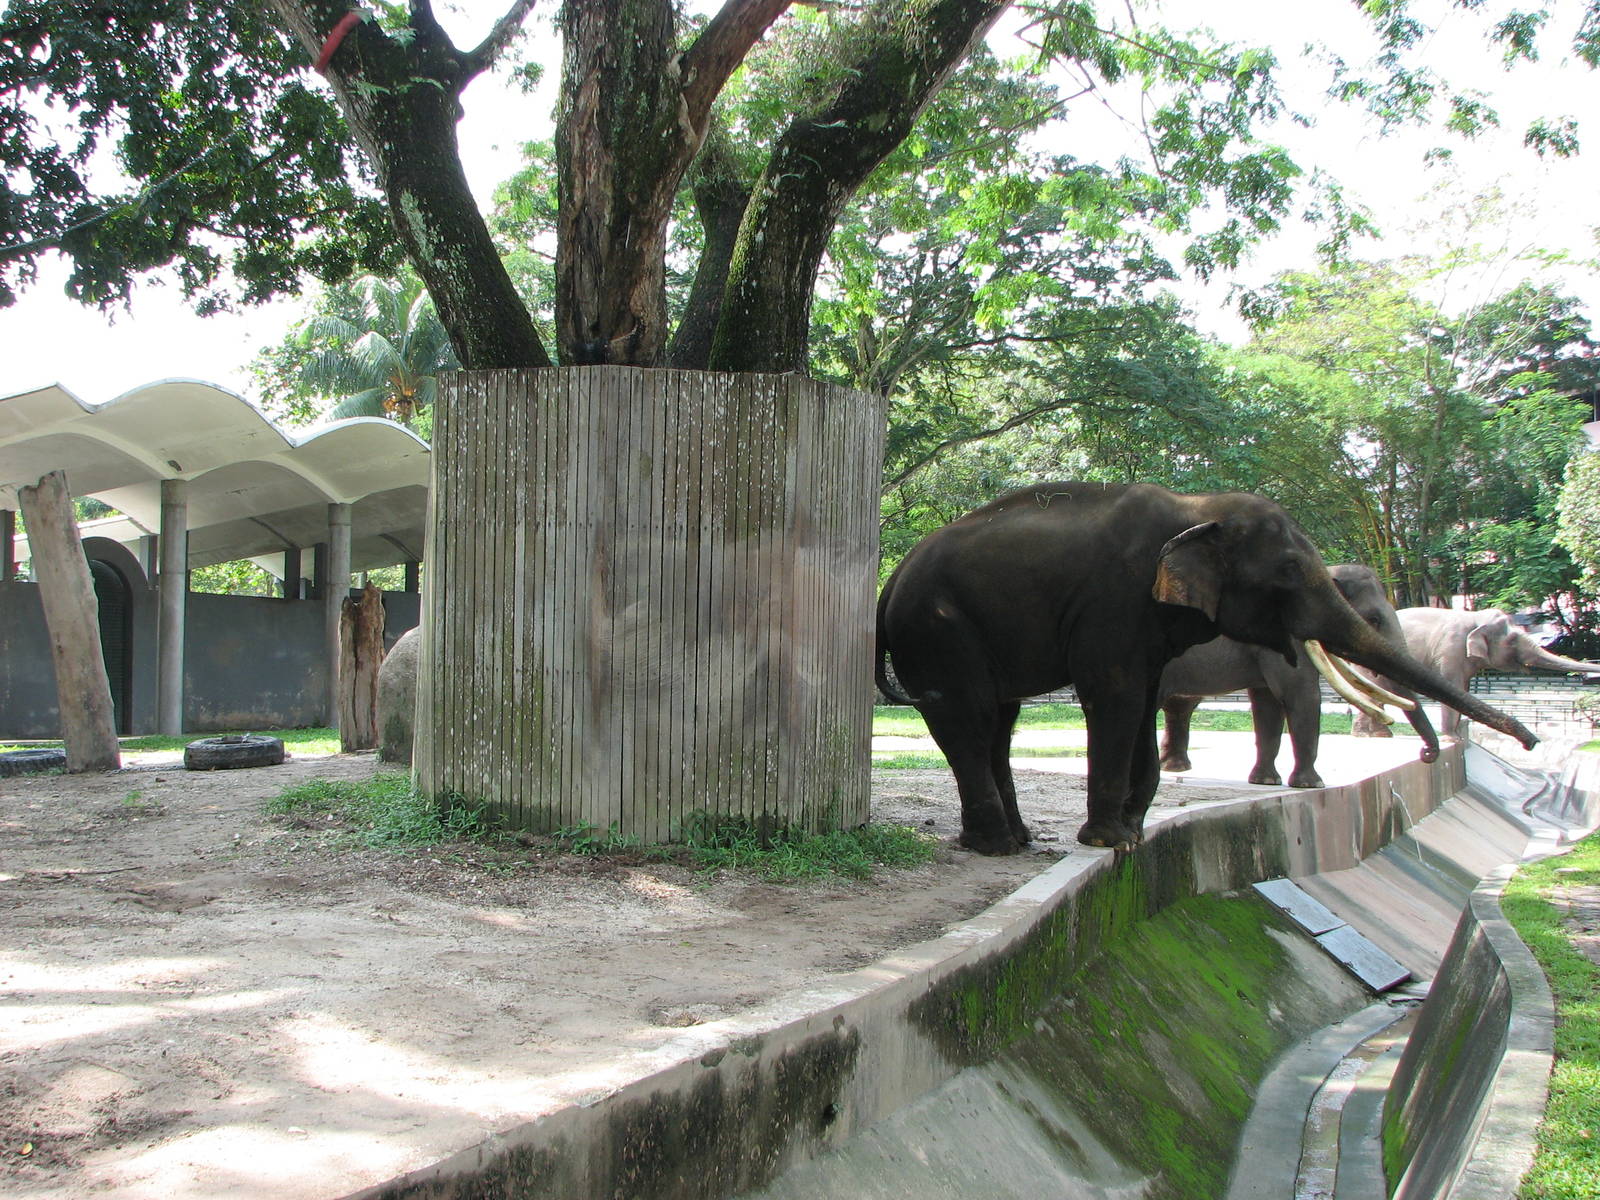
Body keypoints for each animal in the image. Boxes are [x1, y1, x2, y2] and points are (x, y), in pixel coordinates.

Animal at [1158, 564, 1440, 789]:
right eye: (1374, 619)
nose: (1425, 753)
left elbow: (1268, 703)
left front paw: (1266, 782)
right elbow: (1301, 695)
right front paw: (1312, 785)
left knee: (1180, 705)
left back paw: (1174, 768)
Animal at [1355, 606, 1600, 736]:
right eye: (1512, 640)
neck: (1475, 616)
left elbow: (1462, 689)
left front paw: (1456, 736)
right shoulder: (1450, 649)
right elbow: (1452, 686)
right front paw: (1452, 739)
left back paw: (1376, 735)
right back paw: (1374, 735)